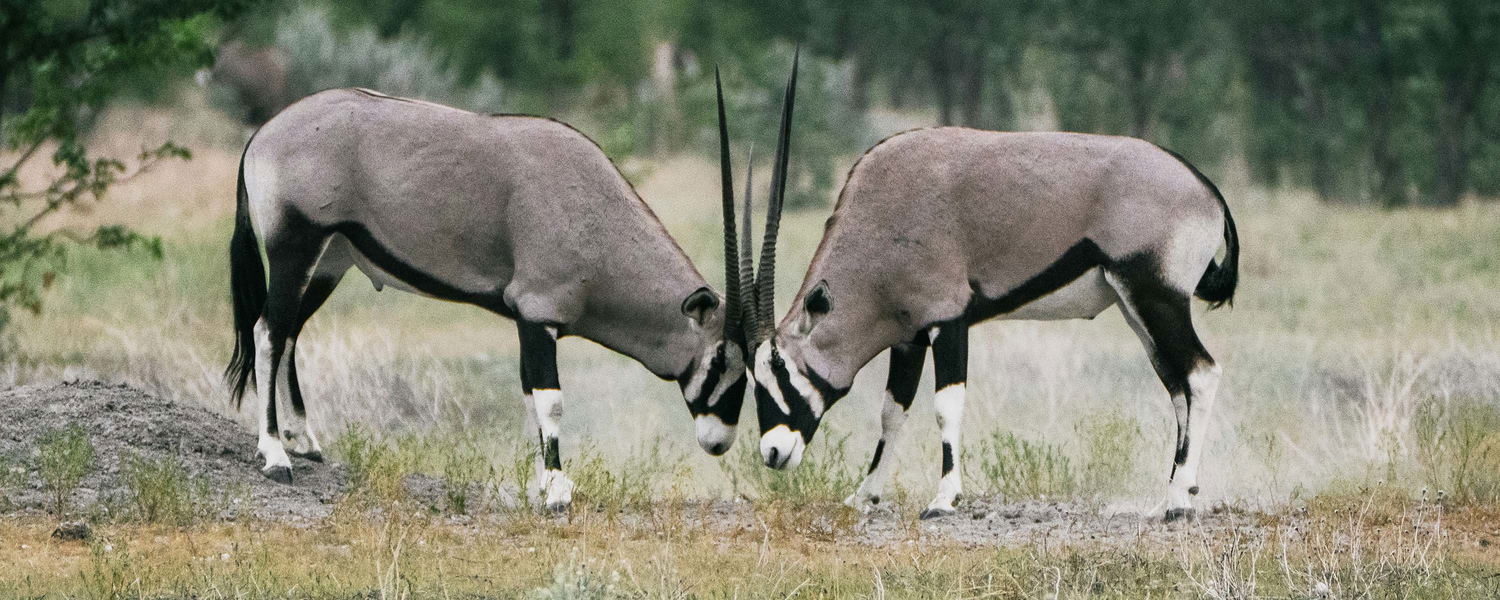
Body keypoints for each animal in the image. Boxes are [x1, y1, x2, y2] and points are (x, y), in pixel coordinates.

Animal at [224, 83, 758, 511]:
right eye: (719, 360)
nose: (719, 442)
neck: (594, 215)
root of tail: (262, 135)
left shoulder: (529, 321)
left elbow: (530, 397)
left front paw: (544, 484)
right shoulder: (538, 314)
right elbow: (550, 401)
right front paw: (558, 491)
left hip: (329, 262)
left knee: (289, 332)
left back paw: (304, 440)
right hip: (296, 247)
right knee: (268, 332)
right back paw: (275, 455)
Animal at [748, 84, 1240, 520]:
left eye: (782, 369)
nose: (772, 451)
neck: (880, 217)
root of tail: (1206, 188)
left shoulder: (947, 322)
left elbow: (946, 408)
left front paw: (944, 499)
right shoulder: (908, 338)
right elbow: (892, 414)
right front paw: (863, 495)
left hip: (1157, 299)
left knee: (1201, 373)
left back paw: (1178, 502)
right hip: (1137, 309)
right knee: (1177, 387)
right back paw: (1172, 495)